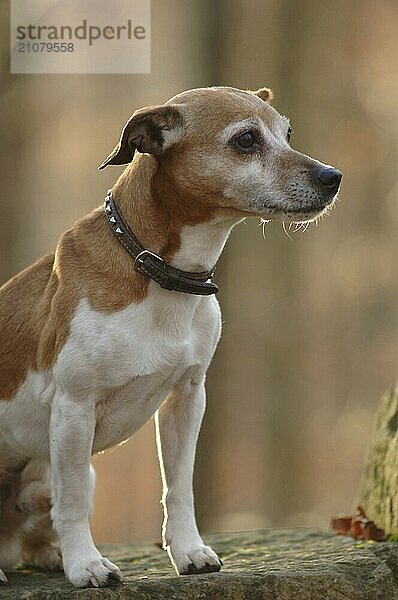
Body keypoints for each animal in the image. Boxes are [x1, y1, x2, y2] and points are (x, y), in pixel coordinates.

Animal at [0, 86, 342, 588]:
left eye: (288, 133)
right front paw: (86, 565)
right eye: (245, 140)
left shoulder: (187, 398)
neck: (157, 271)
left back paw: (50, 555)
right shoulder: (73, 408)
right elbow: (74, 501)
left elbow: (179, 487)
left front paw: (188, 552)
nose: (332, 177)